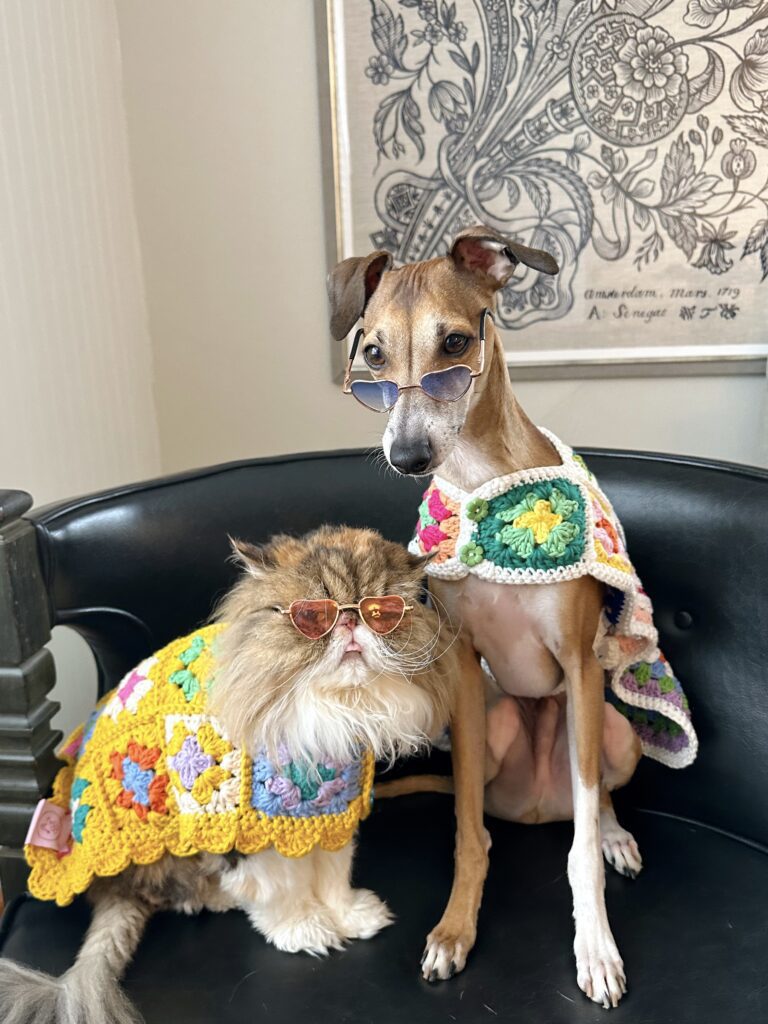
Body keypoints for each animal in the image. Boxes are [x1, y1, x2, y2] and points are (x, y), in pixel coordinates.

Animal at [0, 526, 459, 1024]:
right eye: (313, 614)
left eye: (381, 611)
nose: (353, 623)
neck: (331, 712)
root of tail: (110, 886)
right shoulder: (249, 832)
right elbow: (283, 891)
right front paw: (305, 929)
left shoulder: (329, 812)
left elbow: (333, 875)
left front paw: (350, 915)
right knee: (182, 894)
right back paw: (221, 897)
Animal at [327, 225, 696, 1007]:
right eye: (371, 353)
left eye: (456, 342)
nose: (408, 454)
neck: (478, 476)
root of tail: (534, 808)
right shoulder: (465, 670)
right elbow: (468, 834)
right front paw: (453, 929)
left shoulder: (582, 665)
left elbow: (580, 852)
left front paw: (595, 948)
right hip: (490, 732)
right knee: (493, 816)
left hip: (614, 731)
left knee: (595, 799)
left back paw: (614, 835)